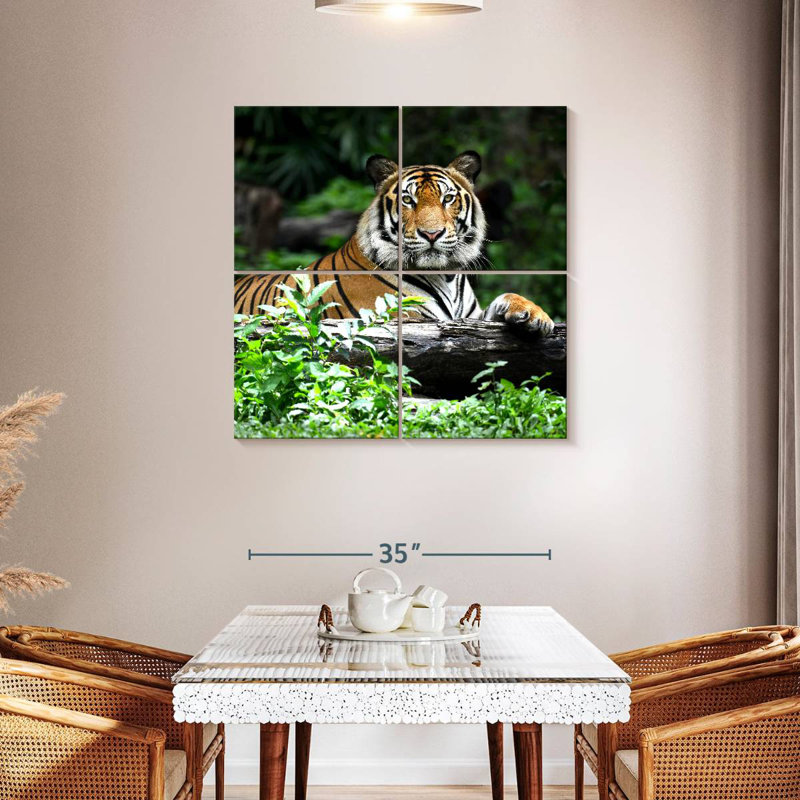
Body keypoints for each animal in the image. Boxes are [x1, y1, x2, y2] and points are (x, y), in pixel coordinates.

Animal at [234, 151, 554, 335]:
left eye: (447, 198)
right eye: (408, 200)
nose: (432, 234)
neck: (446, 276)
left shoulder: (471, 316)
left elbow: (507, 296)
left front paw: (535, 315)